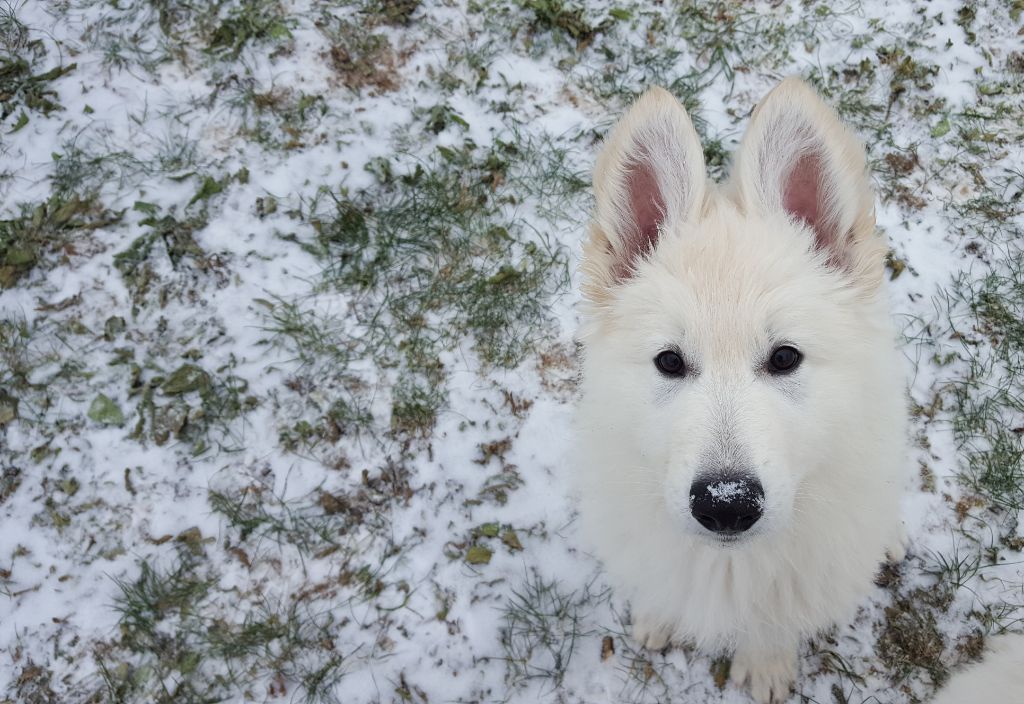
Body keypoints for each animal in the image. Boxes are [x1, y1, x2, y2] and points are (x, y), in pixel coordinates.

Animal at [577, 78, 905, 704]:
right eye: (669, 361)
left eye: (784, 358)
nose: (726, 506)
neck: (726, 563)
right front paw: (658, 616)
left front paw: (767, 665)